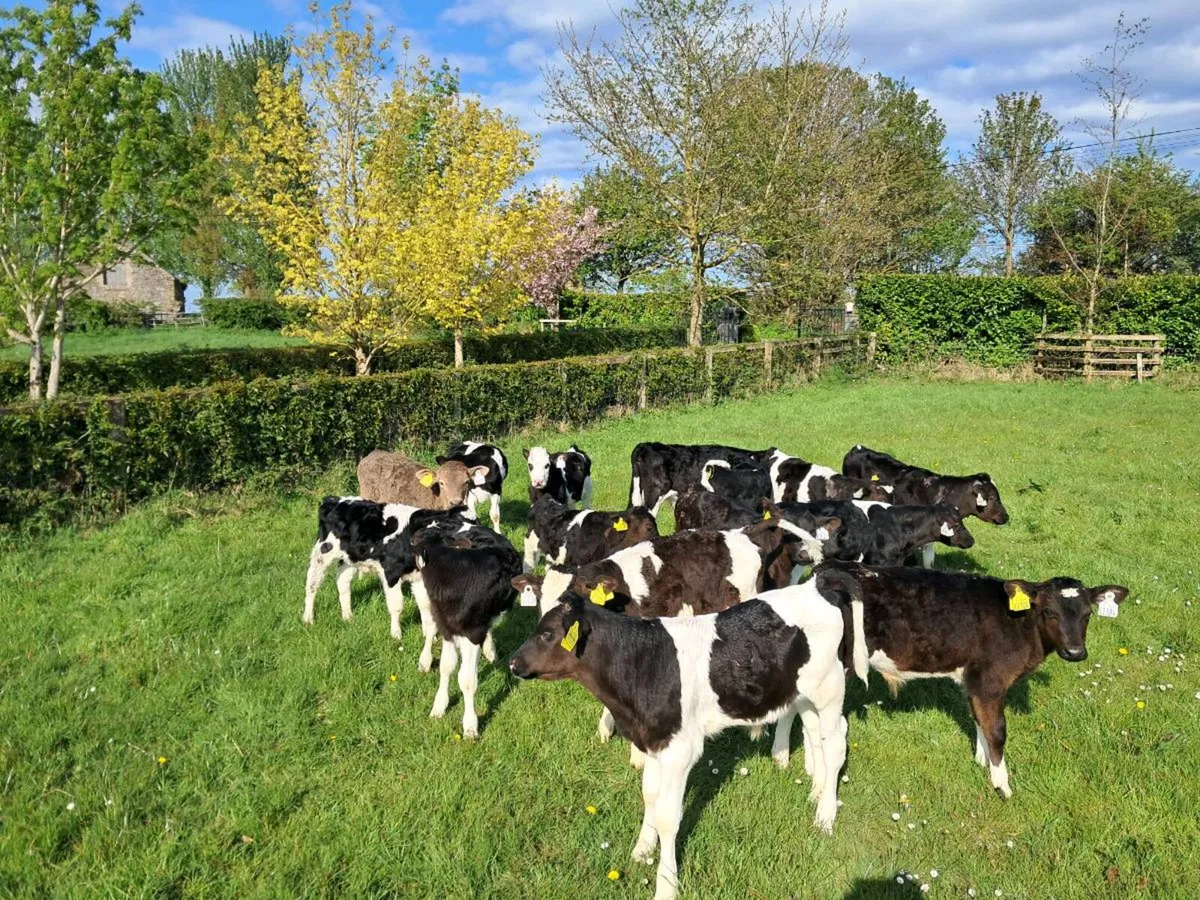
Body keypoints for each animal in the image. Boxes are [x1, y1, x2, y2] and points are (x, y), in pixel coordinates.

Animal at [411, 527, 523, 739]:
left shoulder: (473, 631)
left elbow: (467, 681)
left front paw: (470, 727)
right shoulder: (446, 627)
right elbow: (446, 667)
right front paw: (439, 706)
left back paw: (490, 651)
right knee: (430, 629)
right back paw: (425, 661)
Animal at [509, 582, 849, 900]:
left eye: (547, 634)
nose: (513, 663)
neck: (643, 664)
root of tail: (815, 588)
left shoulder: (679, 750)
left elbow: (668, 817)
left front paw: (666, 885)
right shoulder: (652, 741)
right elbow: (649, 796)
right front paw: (642, 848)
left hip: (830, 688)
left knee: (835, 743)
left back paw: (825, 817)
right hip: (802, 693)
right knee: (814, 731)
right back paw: (817, 792)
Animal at [818, 561, 1129, 797]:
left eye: (1088, 614)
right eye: (1049, 611)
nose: (1075, 652)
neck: (1020, 625)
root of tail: (830, 568)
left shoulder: (974, 678)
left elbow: (979, 718)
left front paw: (982, 760)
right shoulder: (990, 680)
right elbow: (998, 730)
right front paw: (1001, 783)